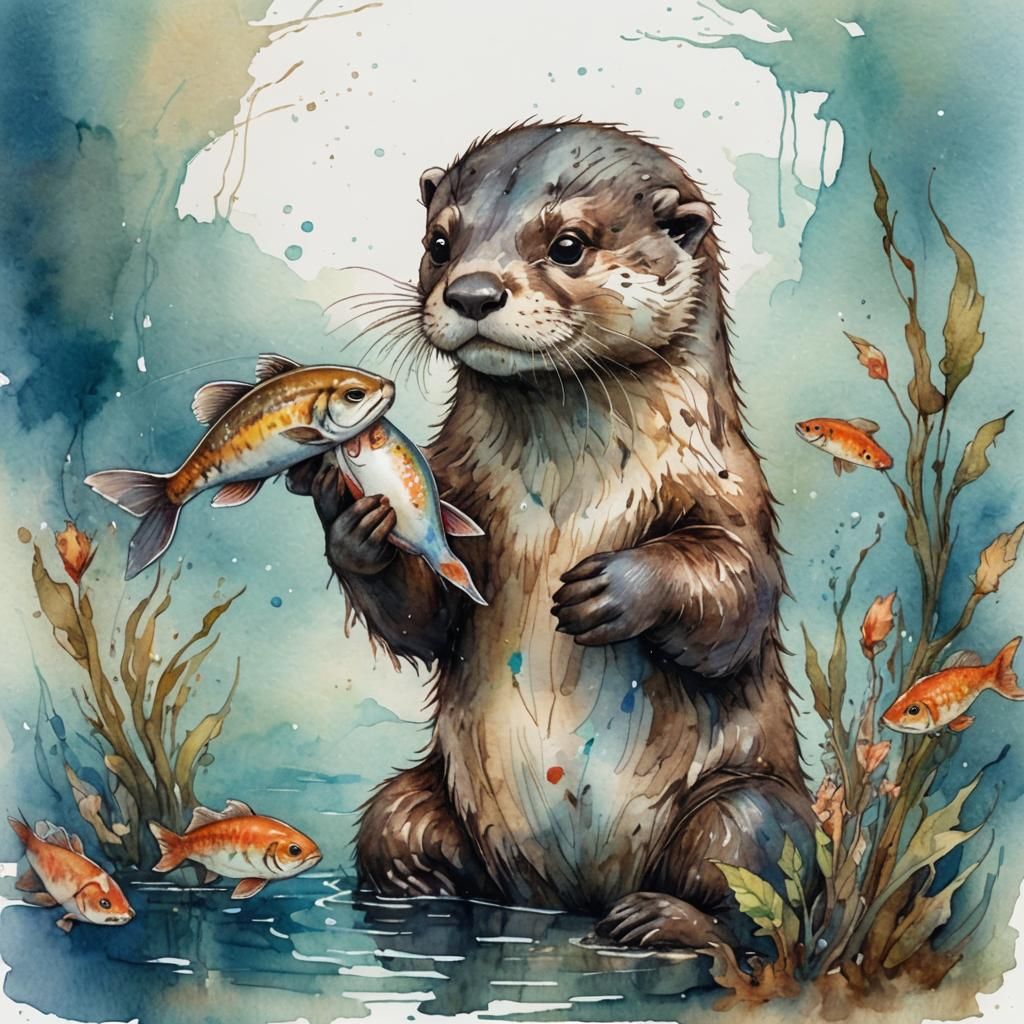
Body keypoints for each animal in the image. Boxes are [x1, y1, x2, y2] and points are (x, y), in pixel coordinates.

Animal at [290, 120, 816, 951]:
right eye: (440, 241)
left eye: (568, 245)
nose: (473, 291)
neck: (564, 500)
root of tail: (568, 898)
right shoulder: (454, 487)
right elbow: (425, 622)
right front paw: (359, 530)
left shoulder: (733, 490)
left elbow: (736, 597)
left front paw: (614, 588)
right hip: (416, 799)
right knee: (395, 824)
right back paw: (423, 898)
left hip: (745, 807)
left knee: (760, 898)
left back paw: (660, 920)